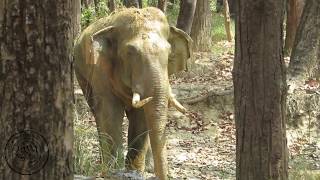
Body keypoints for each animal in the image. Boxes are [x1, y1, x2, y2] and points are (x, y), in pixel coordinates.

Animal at [74, 6, 191, 179]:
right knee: (97, 113)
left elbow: (141, 116)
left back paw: (148, 167)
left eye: (170, 53)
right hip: (81, 73)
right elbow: (110, 111)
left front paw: (134, 171)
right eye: (130, 52)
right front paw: (113, 171)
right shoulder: (100, 69)